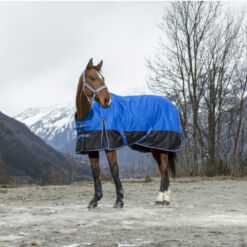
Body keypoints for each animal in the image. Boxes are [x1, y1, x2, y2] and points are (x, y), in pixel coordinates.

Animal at [74, 58, 182, 208]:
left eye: (103, 78)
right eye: (92, 77)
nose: (107, 101)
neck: (88, 116)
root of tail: (172, 105)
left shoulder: (110, 146)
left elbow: (114, 170)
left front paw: (119, 200)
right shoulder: (92, 149)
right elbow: (95, 173)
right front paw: (95, 200)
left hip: (162, 147)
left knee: (164, 169)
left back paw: (162, 198)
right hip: (155, 148)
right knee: (163, 170)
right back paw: (164, 198)